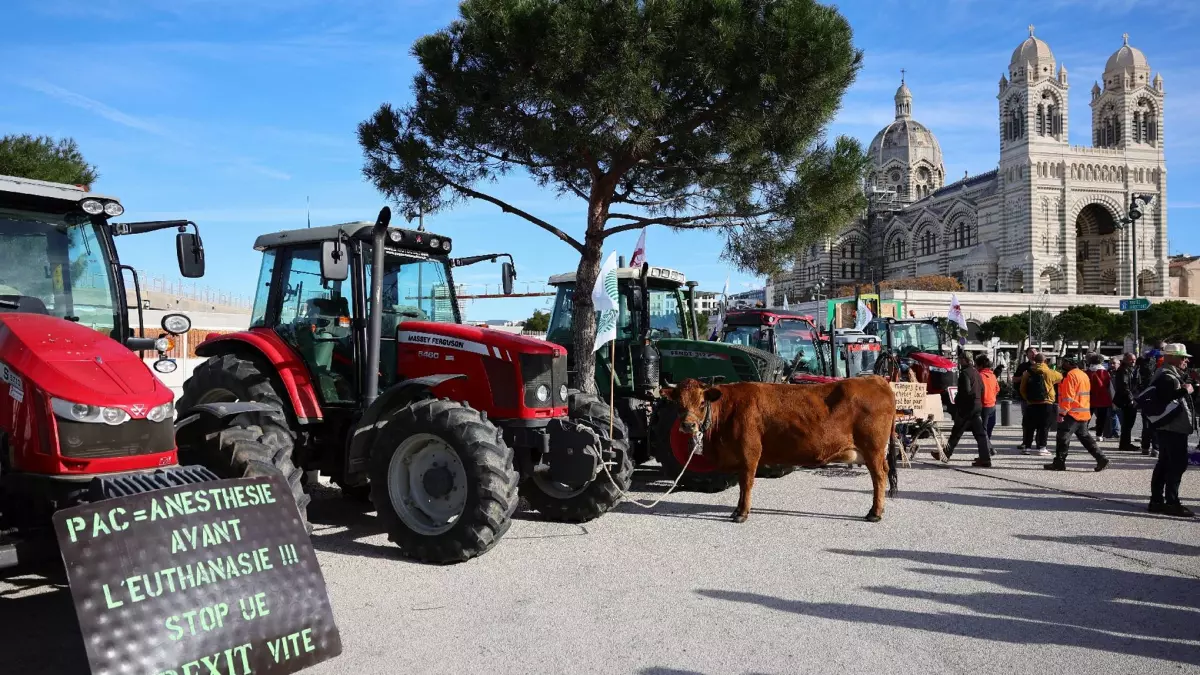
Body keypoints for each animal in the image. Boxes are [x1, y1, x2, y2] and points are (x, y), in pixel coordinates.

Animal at [662, 374, 897, 523]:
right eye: (678, 404)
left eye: (702, 403)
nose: (688, 425)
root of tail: (876, 380)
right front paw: (738, 510)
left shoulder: (749, 454)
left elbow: (746, 484)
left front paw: (742, 513)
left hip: (873, 449)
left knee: (879, 476)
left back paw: (875, 513)